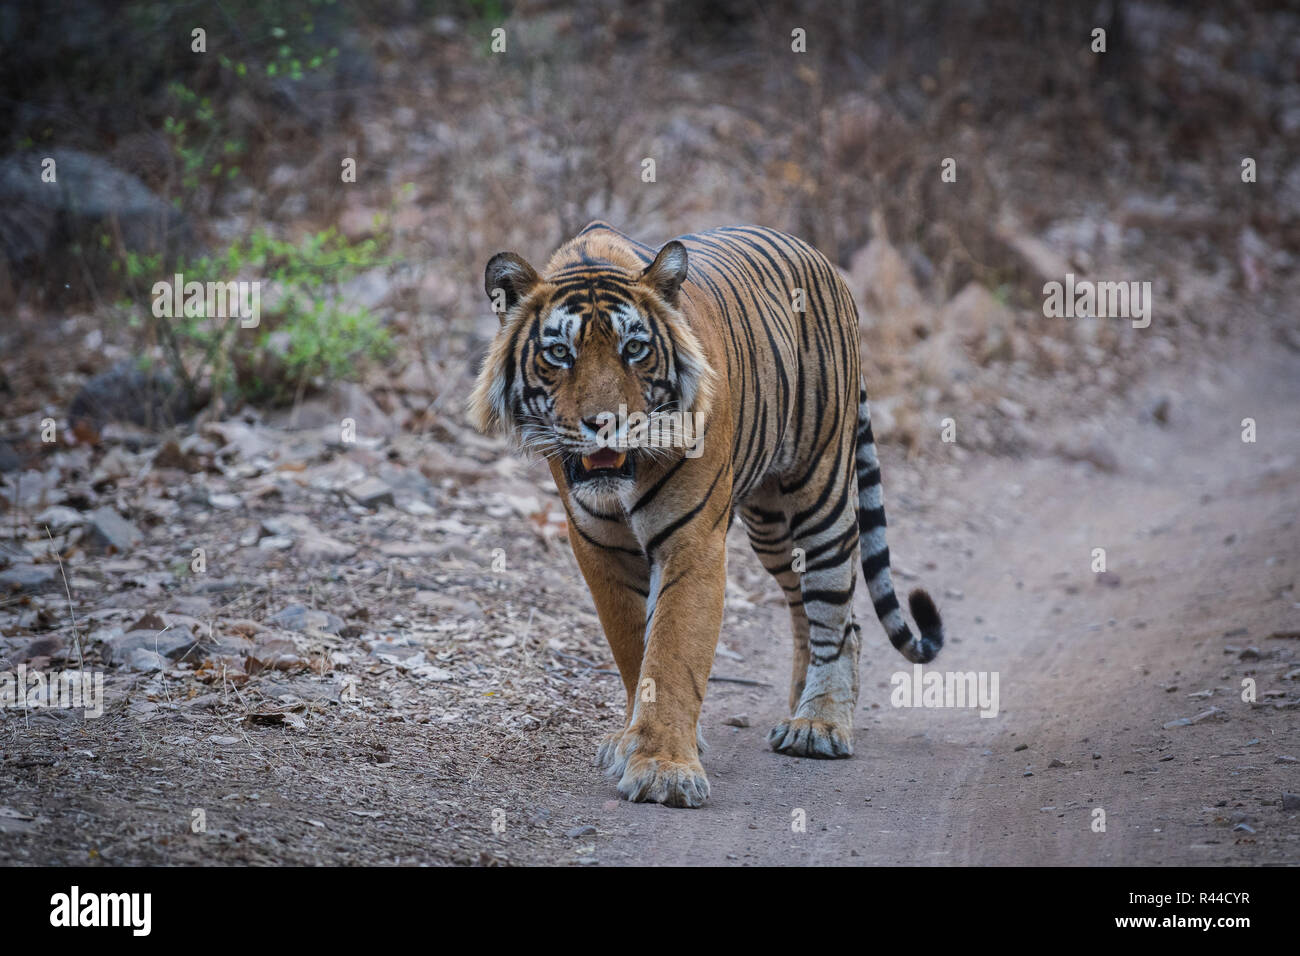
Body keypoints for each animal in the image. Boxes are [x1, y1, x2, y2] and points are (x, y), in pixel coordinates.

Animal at [468, 221, 945, 808]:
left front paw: (664, 770)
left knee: (837, 613)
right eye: (559, 353)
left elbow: (673, 653)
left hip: (821, 491)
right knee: (808, 608)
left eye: (635, 349)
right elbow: (633, 649)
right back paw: (800, 704)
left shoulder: (692, 541)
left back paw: (820, 725)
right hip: (770, 524)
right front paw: (636, 740)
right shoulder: (599, 546)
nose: (605, 424)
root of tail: (822, 260)